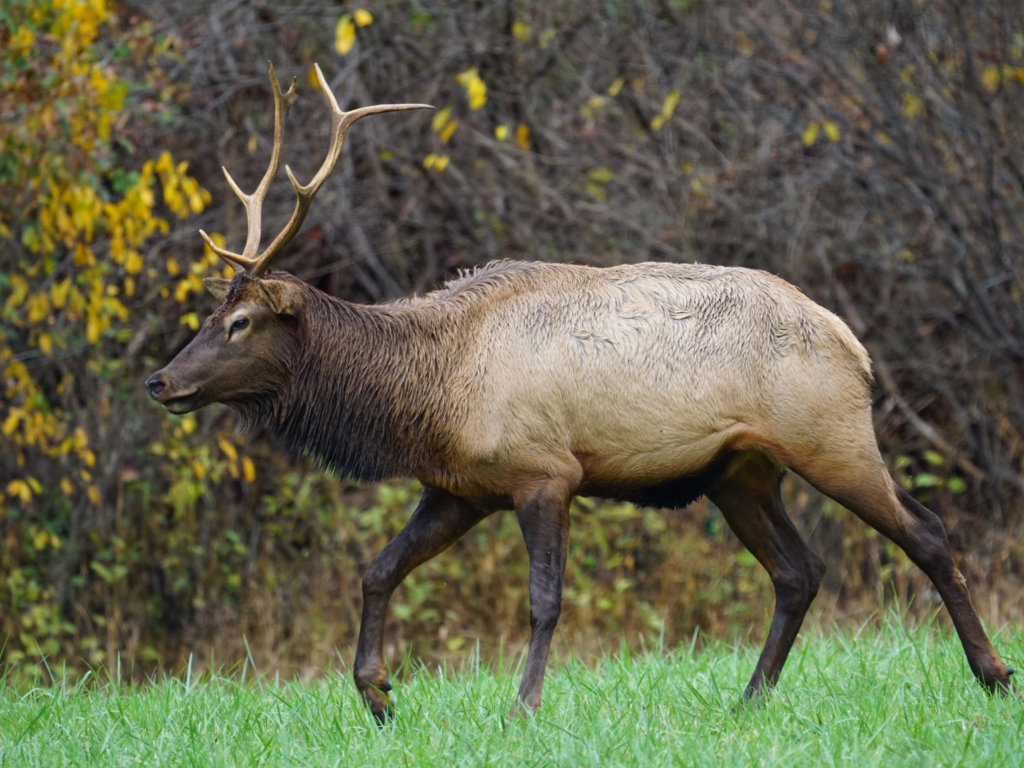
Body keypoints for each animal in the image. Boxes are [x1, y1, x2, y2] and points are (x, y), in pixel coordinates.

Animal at [146, 61, 1015, 720]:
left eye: (242, 322)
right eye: (211, 313)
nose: (161, 380)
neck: (430, 392)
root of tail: (852, 343)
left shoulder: (545, 473)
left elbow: (544, 600)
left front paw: (522, 707)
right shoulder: (458, 488)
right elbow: (378, 569)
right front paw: (378, 695)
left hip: (828, 434)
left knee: (925, 532)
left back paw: (994, 675)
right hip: (740, 472)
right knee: (799, 571)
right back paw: (750, 700)